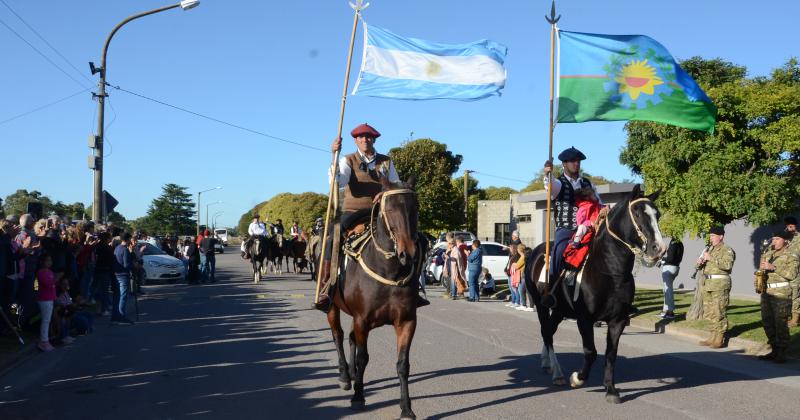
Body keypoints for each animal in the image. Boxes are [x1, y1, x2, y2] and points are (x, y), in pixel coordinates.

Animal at [326, 177, 428, 420]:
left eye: (415, 208)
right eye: (389, 209)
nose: (408, 253)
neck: (388, 270)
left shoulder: (406, 321)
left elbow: (403, 364)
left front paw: (406, 408)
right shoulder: (362, 320)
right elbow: (363, 358)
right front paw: (358, 397)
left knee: (350, 337)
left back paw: (352, 374)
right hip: (333, 307)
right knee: (338, 335)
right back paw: (345, 375)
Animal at [520, 186, 664, 404]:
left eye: (658, 215)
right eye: (638, 213)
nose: (659, 248)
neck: (609, 270)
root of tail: (535, 251)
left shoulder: (618, 320)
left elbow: (611, 354)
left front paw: (611, 390)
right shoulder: (584, 319)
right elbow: (591, 352)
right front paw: (577, 378)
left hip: (560, 311)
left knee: (549, 332)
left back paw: (547, 363)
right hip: (542, 305)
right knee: (546, 332)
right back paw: (558, 373)